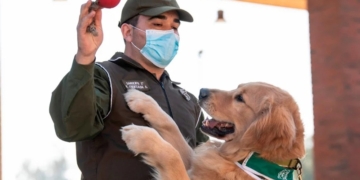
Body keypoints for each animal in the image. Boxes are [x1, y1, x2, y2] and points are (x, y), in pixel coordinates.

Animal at [120, 82, 304, 180]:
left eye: (240, 98)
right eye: (237, 88)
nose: (202, 92)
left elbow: (173, 156)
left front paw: (141, 136)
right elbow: (171, 125)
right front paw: (143, 100)